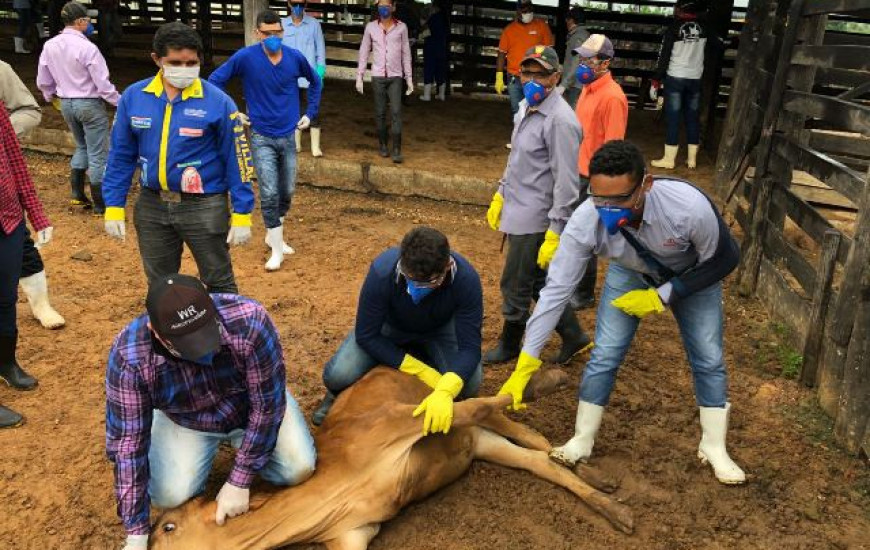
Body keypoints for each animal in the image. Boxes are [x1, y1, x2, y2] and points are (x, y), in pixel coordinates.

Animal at [145, 366, 632, 550]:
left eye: (167, 527)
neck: (334, 489)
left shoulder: (396, 423)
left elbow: (477, 403)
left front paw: (543, 382)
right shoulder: (351, 533)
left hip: (451, 414)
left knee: (500, 414)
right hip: (483, 445)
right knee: (537, 460)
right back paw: (609, 499)